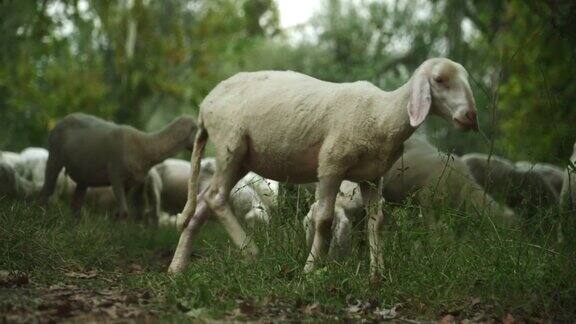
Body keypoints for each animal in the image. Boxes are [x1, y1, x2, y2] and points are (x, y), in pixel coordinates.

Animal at [38, 112, 196, 219]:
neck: (145, 146)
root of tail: (62, 120)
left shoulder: (129, 183)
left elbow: (121, 212)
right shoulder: (116, 176)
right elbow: (124, 212)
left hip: (83, 174)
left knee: (76, 204)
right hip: (54, 157)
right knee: (46, 189)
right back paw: (42, 213)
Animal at [169, 58, 480, 276]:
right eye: (439, 79)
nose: (470, 116)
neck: (383, 114)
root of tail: (206, 103)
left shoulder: (371, 177)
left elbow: (376, 223)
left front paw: (377, 275)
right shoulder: (331, 164)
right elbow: (324, 220)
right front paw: (310, 271)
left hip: (242, 158)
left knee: (202, 202)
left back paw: (177, 268)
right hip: (229, 143)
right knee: (216, 197)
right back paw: (253, 253)